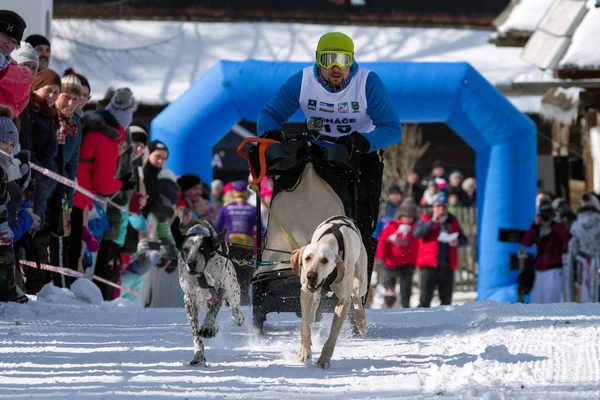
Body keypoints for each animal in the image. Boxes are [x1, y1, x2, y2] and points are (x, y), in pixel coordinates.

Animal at [170, 217, 245, 368]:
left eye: (202, 248)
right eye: (185, 249)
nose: (191, 263)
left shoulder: (219, 289)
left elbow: (213, 311)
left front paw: (208, 327)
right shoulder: (189, 299)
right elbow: (195, 333)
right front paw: (198, 356)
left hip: (232, 288)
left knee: (234, 306)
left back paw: (237, 317)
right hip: (201, 299)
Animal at [290, 217, 368, 370]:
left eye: (325, 260)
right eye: (307, 258)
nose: (311, 276)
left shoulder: (343, 300)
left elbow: (333, 334)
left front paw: (324, 359)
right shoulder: (306, 293)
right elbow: (305, 325)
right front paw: (304, 351)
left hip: (361, 280)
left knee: (356, 295)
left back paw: (361, 321)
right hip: (315, 297)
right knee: (311, 316)